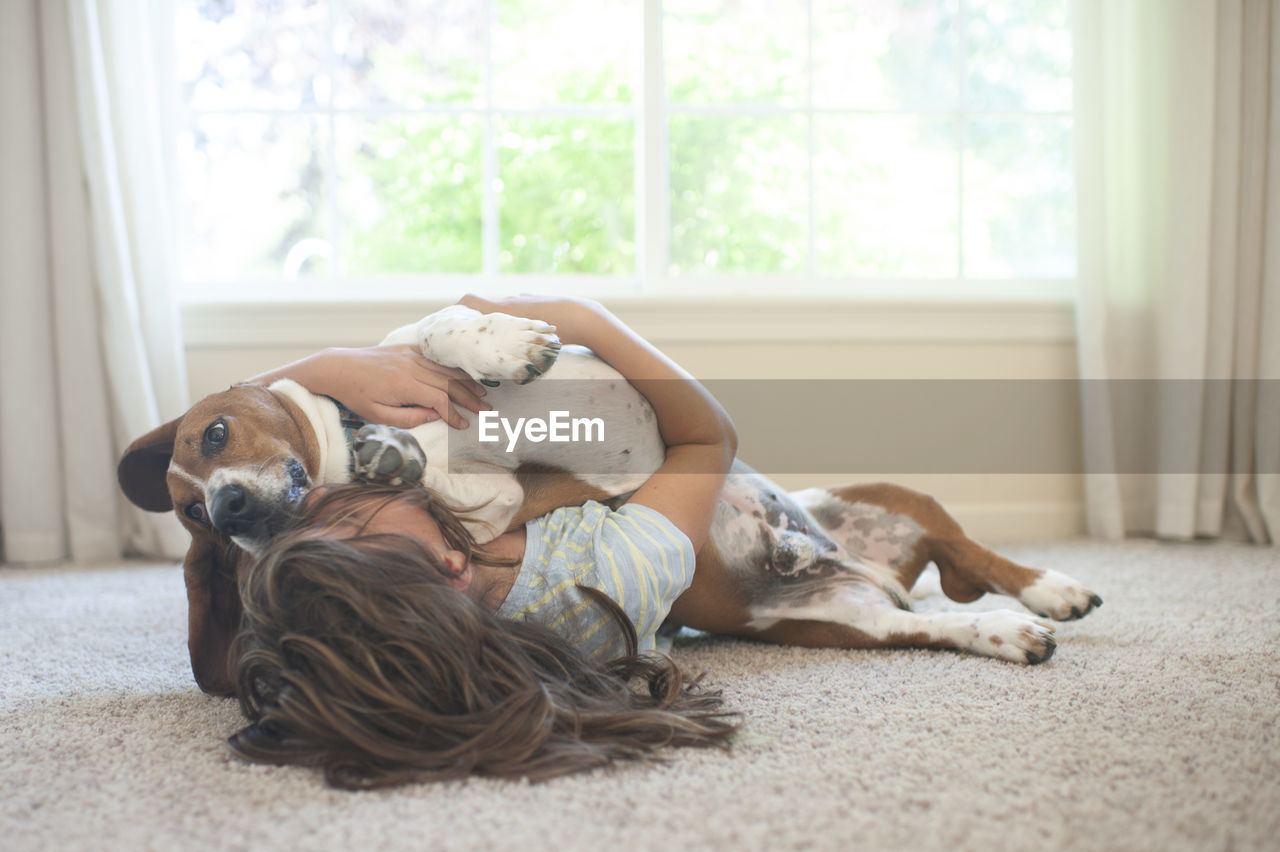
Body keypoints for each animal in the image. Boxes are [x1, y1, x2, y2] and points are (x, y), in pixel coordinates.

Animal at [117, 303, 1100, 690]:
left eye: (213, 436)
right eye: (194, 515)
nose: (231, 513)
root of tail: (865, 570)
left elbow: (439, 330)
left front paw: (498, 347)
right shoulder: (502, 508)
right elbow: (450, 479)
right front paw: (392, 453)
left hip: (883, 495)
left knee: (970, 550)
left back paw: (1053, 588)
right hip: (853, 624)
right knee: (939, 621)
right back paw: (1009, 630)